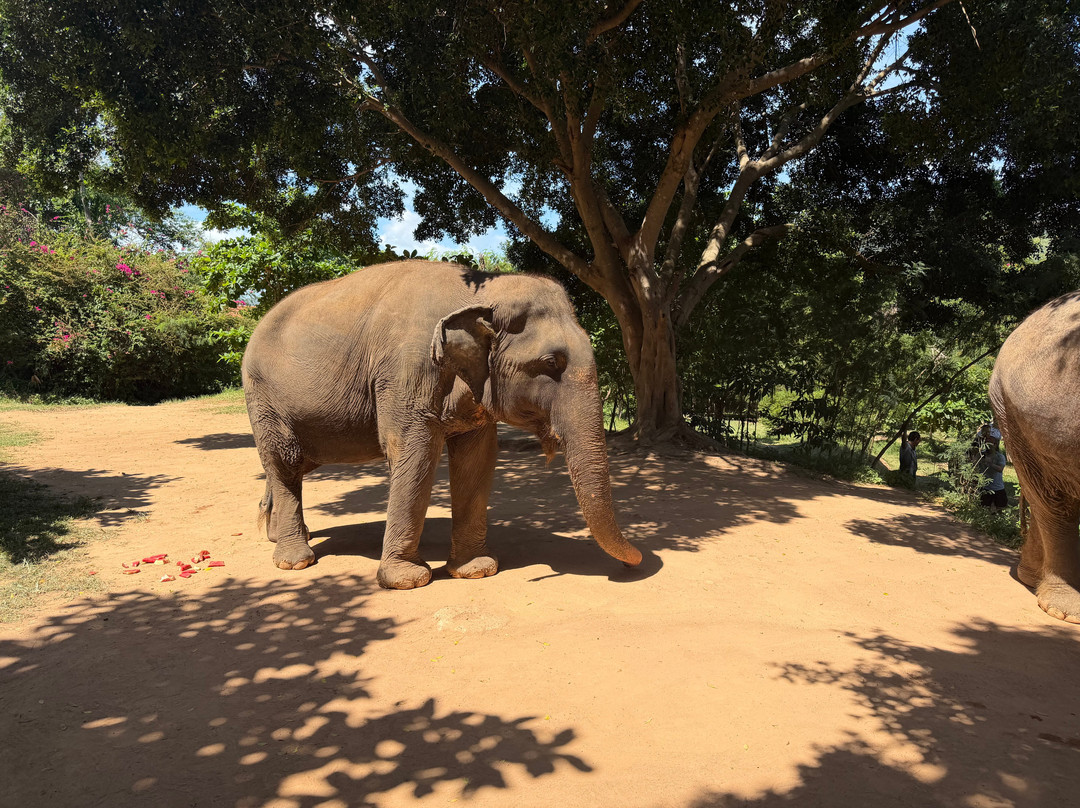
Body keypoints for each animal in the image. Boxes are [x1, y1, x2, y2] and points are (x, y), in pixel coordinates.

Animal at [241, 259, 643, 589]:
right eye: (551, 362)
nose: (631, 565)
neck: (479, 289)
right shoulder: (407, 371)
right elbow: (415, 452)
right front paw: (407, 581)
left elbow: (478, 458)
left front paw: (476, 570)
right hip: (262, 393)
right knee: (285, 461)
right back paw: (295, 561)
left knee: (293, 464)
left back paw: (277, 534)